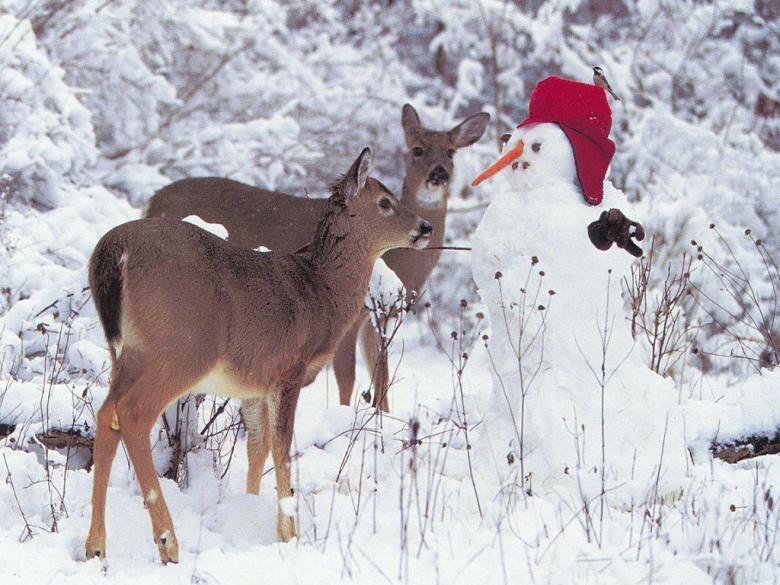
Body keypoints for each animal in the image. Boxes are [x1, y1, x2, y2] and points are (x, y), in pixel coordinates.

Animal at [85, 149, 432, 560]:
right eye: (385, 202)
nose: (426, 227)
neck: (323, 292)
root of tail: (115, 249)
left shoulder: (253, 385)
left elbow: (257, 448)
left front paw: (248, 510)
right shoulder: (289, 370)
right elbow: (282, 449)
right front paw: (290, 534)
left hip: (128, 352)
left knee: (107, 413)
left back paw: (96, 545)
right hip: (182, 347)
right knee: (133, 414)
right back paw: (168, 541)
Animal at [145, 104, 488, 410]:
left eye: (451, 152)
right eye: (417, 149)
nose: (438, 174)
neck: (400, 265)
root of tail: (153, 200)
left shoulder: (380, 318)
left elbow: (382, 378)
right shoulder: (353, 318)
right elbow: (347, 377)